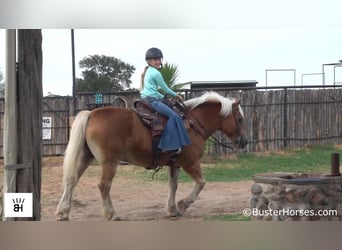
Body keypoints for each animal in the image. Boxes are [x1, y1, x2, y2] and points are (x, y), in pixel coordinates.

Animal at [56, 92, 248, 221]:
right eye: (239, 119)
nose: (244, 141)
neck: (192, 123)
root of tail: (91, 114)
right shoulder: (190, 162)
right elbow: (201, 183)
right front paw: (183, 204)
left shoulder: (175, 163)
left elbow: (173, 185)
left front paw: (172, 210)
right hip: (109, 162)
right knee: (104, 186)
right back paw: (112, 214)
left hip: (85, 158)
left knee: (71, 181)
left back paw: (63, 212)